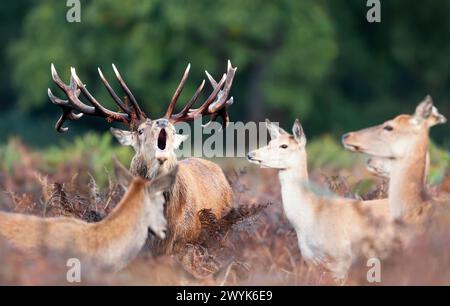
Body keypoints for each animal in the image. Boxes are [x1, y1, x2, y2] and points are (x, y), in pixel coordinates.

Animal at [248, 118, 400, 280]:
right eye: (269, 142)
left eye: (284, 145)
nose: (250, 154)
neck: (310, 218)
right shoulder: (311, 261)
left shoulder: (341, 259)